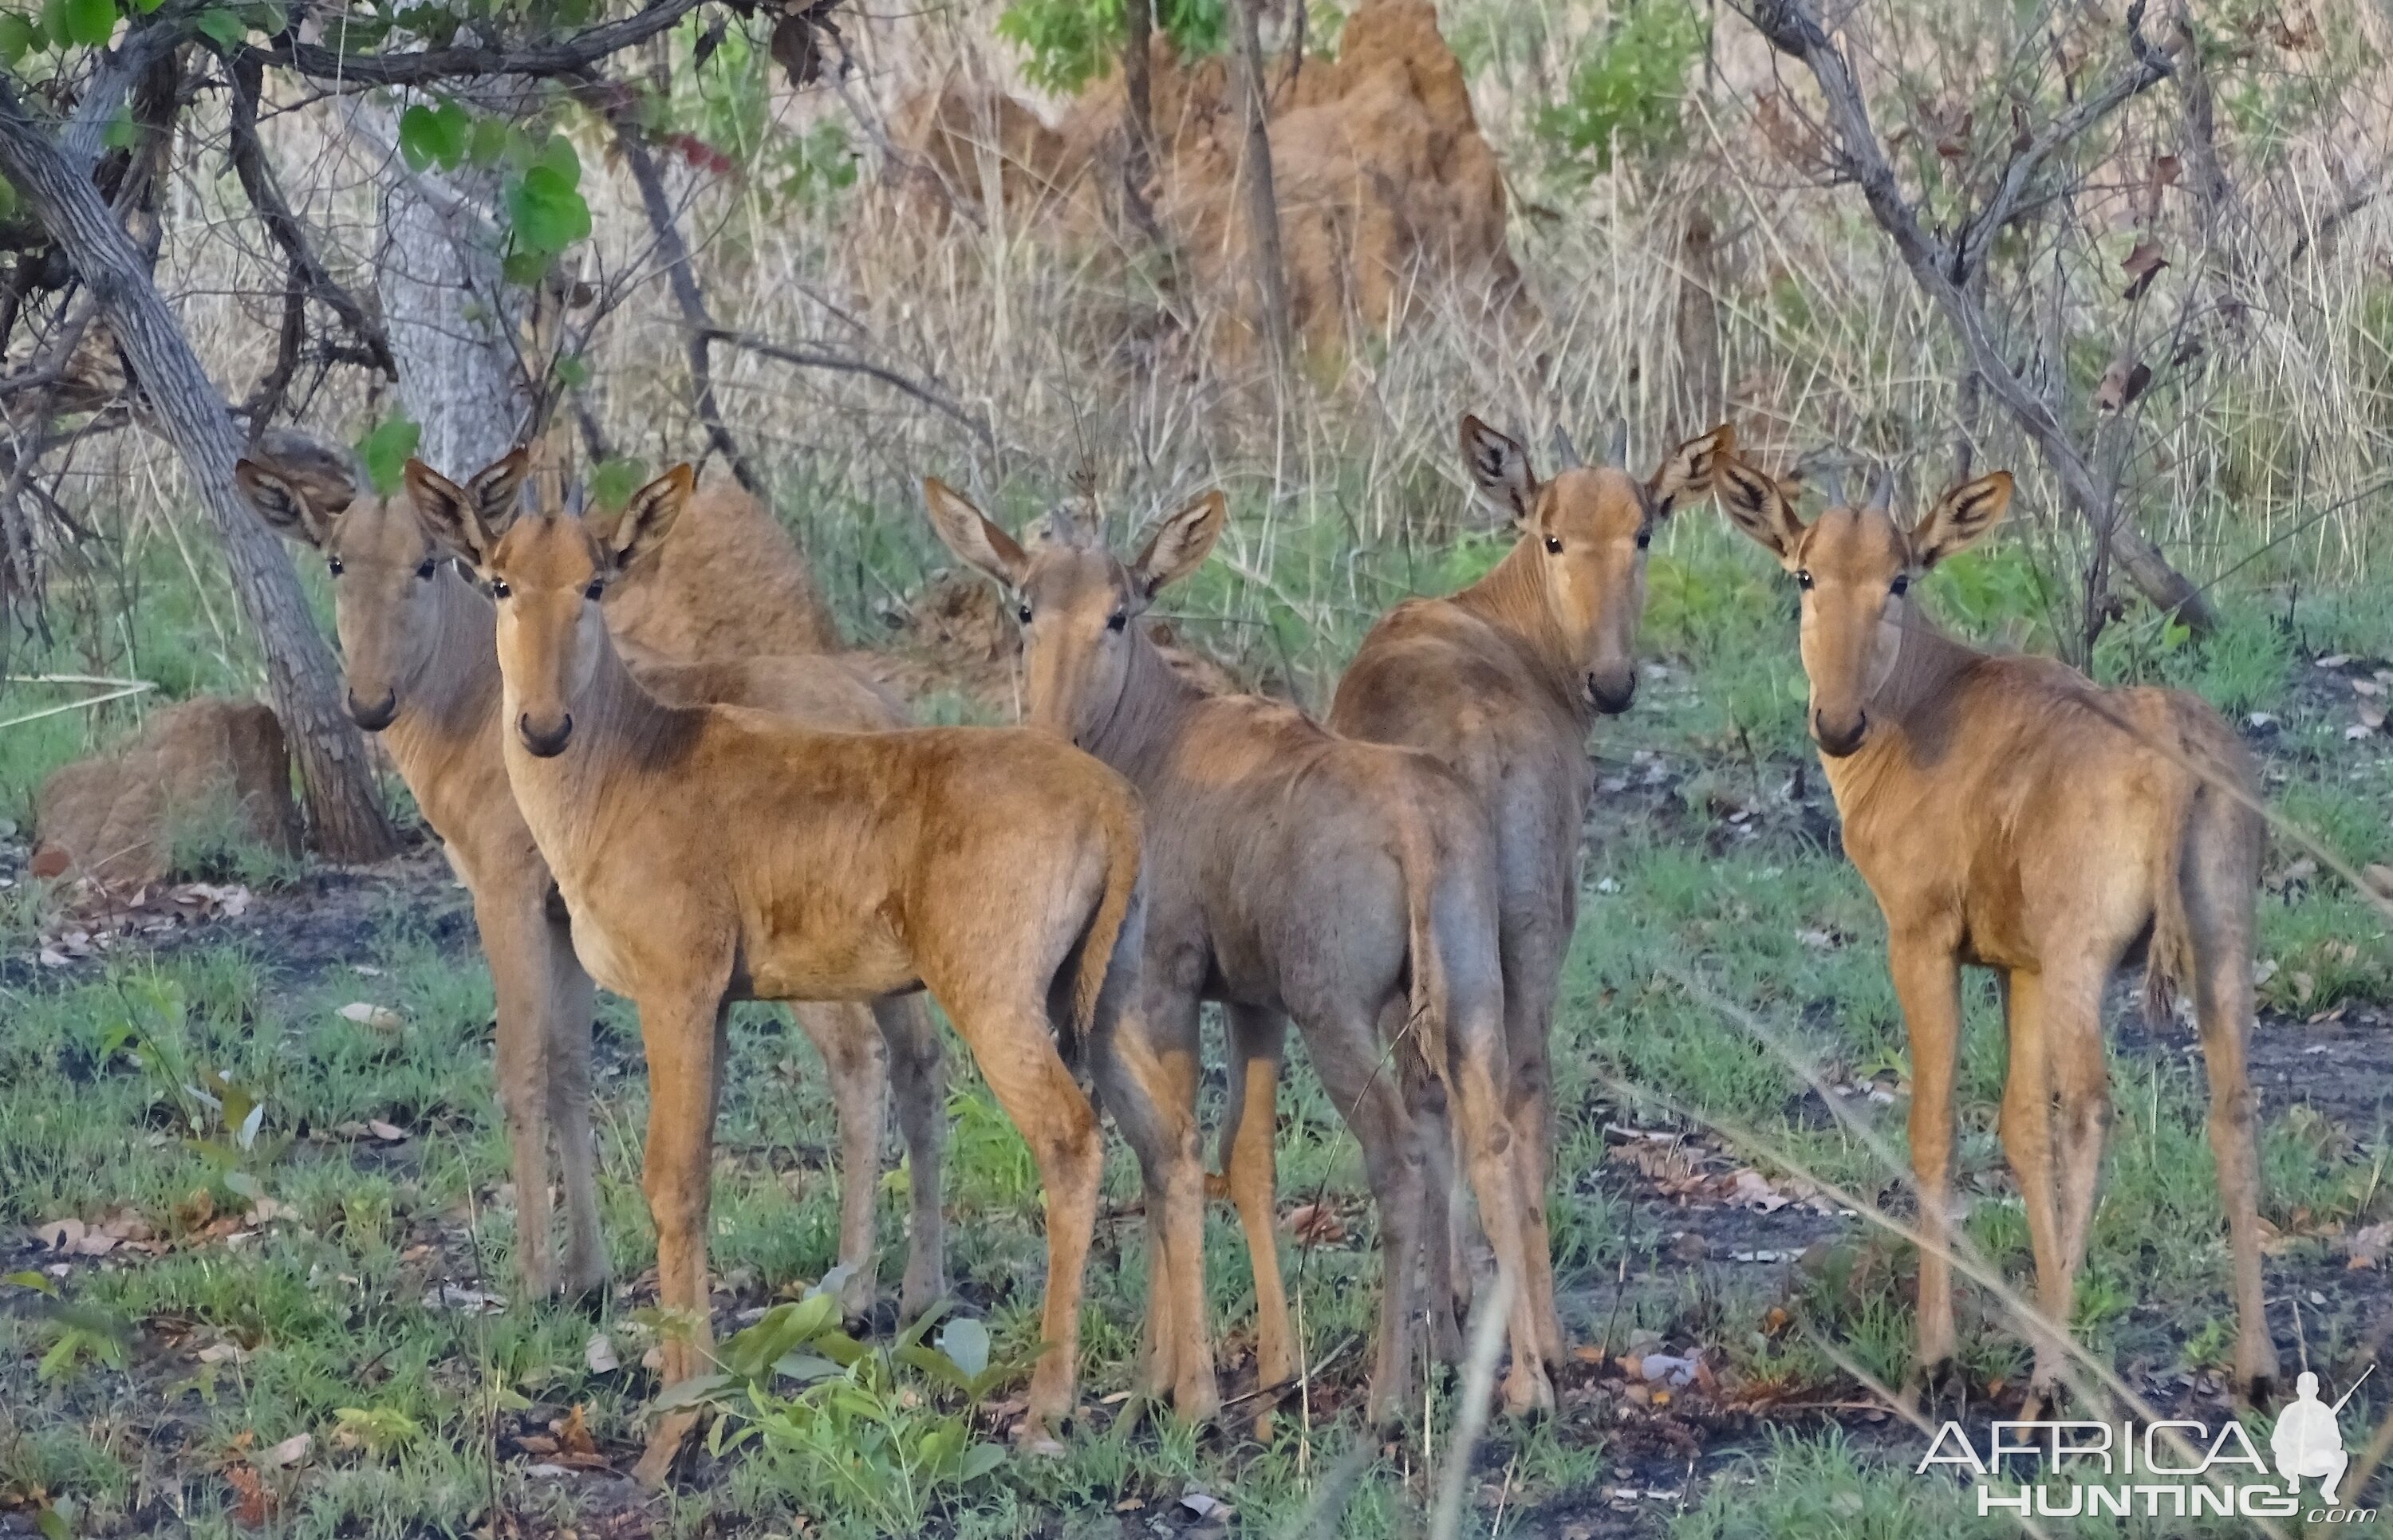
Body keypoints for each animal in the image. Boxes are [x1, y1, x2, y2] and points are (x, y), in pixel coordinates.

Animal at [233, 427, 943, 1320]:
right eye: (335, 560)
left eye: (427, 563)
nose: (369, 701)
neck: (483, 707)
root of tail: (880, 713)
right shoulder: (564, 917)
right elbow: (570, 1063)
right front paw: (588, 1271)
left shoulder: (504, 895)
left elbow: (520, 1064)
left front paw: (534, 1278)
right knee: (921, 1062)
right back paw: (921, 1291)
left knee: (857, 1059)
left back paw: (850, 1290)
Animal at [407, 454, 1216, 1454]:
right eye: (500, 581)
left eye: (596, 581)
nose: (543, 725)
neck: (635, 759)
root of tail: (1111, 802)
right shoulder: (715, 1004)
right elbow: (693, 1171)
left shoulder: (677, 991)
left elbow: (671, 1177)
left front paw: (683, 1400)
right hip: (1105, 997)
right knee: (1171, 1138)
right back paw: (1188, 1395)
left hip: (999, 1001)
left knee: (1071, 1137)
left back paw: (1048, 1404)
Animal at [924, 478, 1560, 1416]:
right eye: (1027, 605)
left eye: (1120, 613)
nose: (1051, 733)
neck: (1164, 738)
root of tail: (1417, 825)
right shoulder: (1254, 1001)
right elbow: (1247, 1156)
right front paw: (1271, 1365)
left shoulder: (1167, 981)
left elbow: (1170, 1146)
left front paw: (1163, 1380)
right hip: (1471, 998)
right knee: (1494, 1142)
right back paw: (1523, 1383)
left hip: (1337, 1016)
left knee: (1399, 1157)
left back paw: (1387, 1395)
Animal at [1331, 411, 1742, 1358]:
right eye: (1553, 535)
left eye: (1643, 529)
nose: (1613, 682)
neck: (1498, 621)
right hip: (1528, 928)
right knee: (1521, 1089)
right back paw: (1539, 1346)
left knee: (1447, 1094)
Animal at [1723, 451, 2278, 1406]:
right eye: (1804, 573)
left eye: (1899, 577)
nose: (1837, 723)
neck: (1932, 700)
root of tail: (2172, 742)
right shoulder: (2019, 968)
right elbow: (2020, 1127)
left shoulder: (1924, 941)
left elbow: (1936, 1123)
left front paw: (1936, 1358)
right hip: (2220, 942)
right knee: (2231, 1103)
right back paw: (2258, 1373)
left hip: (2085, 959)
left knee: (2090, 1108)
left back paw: (2043, 1390)